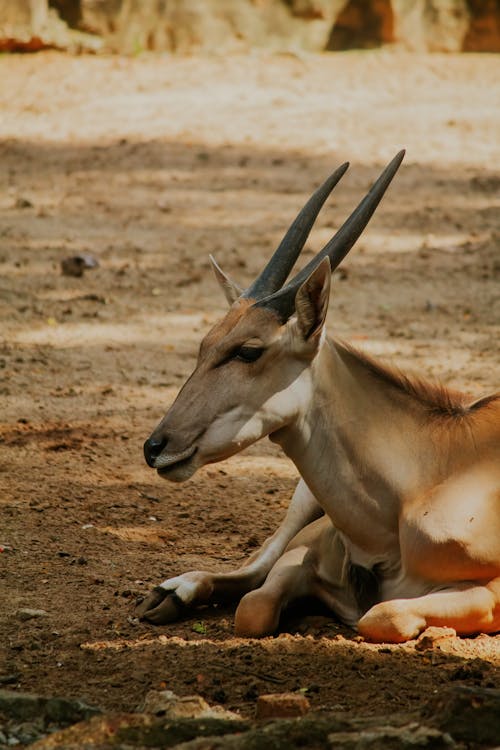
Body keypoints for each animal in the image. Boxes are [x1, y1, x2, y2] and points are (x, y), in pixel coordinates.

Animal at [138, 153, 500, 648]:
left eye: (248, 351)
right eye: (205, 344)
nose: (156, 447)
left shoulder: (489, 593)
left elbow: (382, 615)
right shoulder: (304, 549)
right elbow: (253, 606)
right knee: (254, 566)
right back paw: (172, 593)